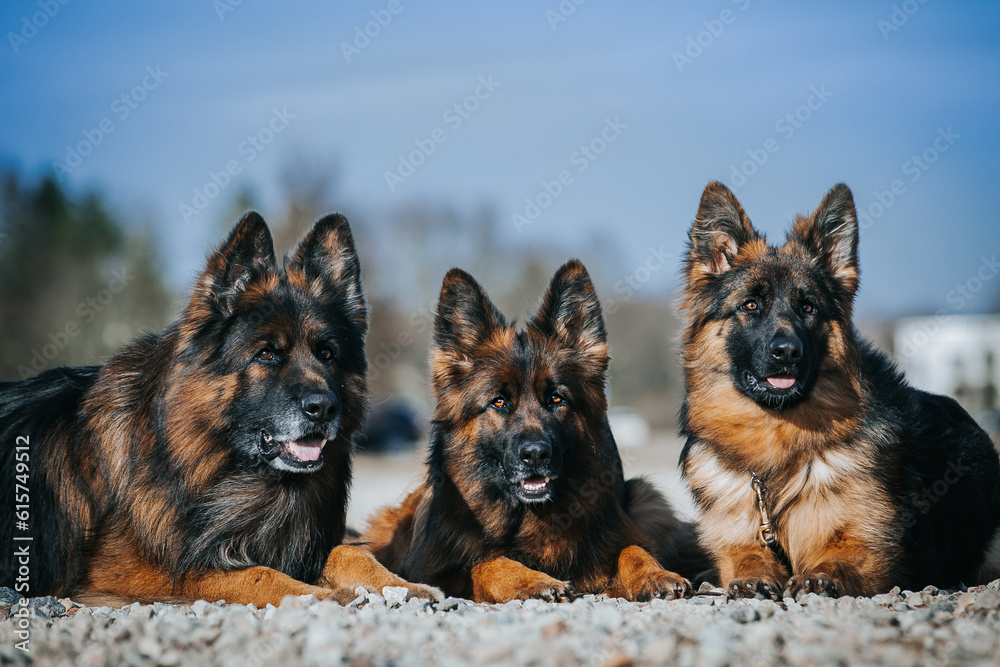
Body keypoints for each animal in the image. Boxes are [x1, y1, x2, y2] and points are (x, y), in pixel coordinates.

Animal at [0, 211, 438, 608]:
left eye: (327, 353)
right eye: (266, 354)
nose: (324, 408)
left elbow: (350, 550)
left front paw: (403, 586)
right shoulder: (144, 570)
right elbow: (255, 574)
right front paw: (323, 596)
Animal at [364, 262, 708, 604]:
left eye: (556, 398)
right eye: (498, 401)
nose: (535, 454)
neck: (528, 514)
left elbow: (633, 548)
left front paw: (654, 573)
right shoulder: (435, 571)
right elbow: (487, 562)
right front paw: (531, 579)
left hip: (647, 496)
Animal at [680, 181, 1000, 600]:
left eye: (808, 308)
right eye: (750, 305)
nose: (787, 352)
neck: (777, 443)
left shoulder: (870, 546)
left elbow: (840, 557)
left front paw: (819, 576)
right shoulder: (737, 538)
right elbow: (742, 557)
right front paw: (752, 576)